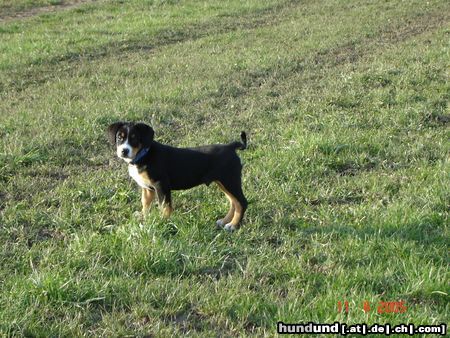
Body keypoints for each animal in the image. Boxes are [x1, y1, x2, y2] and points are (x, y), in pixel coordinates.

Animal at [108, 122, 250, 232]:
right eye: (120, 138)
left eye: (134, 138)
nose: (124, 151)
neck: (143, 155)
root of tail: (230, 146)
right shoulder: (147, 188)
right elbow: (145, 203)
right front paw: (143, 215)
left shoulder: (161, 185)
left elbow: (165, 206)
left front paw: (163, 222)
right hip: (223, 182)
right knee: (233, 202)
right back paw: (225, 221)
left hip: (230, 180)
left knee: (242, 202)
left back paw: (232, 225)